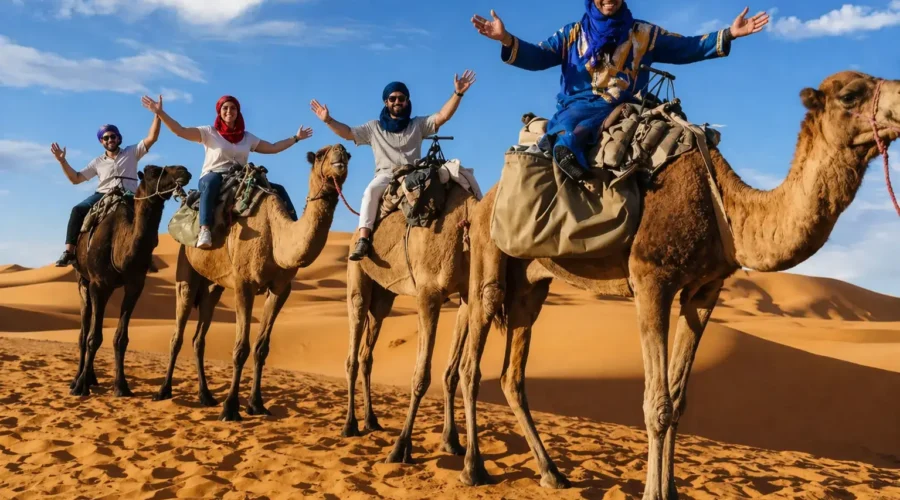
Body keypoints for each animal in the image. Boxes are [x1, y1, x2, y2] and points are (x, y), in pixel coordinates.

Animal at [70, 164, 192, 397]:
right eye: (154, 172)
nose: (184, 170)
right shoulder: (98, 284)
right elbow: (93, 337)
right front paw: (80, 386)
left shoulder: (135, 286)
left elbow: (120, 338)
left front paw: (121, 386)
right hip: (83, 280)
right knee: (84, 331)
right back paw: (78, 379)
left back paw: (91, 377)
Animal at [153, 144, 352, 422]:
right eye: (322, 154)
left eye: (349, 155)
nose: (340, 154)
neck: (276, 235)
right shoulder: (244, 285)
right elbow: (240, 349)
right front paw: (230, 408)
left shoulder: (280, 289)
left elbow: (260, 348)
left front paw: (257, 404)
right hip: (186, 269)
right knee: (177, 334)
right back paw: (164, 390)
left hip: (213, 286)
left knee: (199, 337)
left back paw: (206, 396)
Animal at [344, 184, 478, 463]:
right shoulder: (429, 292)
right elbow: (421, 376)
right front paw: (400, 447)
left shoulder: (467, 296)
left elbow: (451, 373)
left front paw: (451, 441)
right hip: (357, 276)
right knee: (354, 340)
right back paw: (350, 425)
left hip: (383, 298)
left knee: (366, 353)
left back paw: (371, 420)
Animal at [456, 71, 900, 499]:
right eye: (850, 95)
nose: (899, 104)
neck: (725, 210)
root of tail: (485, 199)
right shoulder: (651, 279)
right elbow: (658, 405)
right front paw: (654, 492)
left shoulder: (703, 291)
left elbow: (679, 399)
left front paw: (670, 488)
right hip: (486, 256)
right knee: (472, 358)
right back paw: (473, 469)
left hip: (531, 286)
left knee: (512, 376)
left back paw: (552, 474)